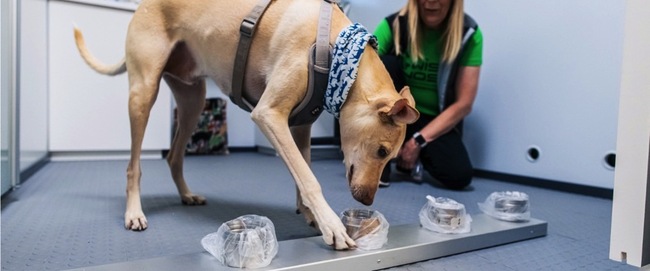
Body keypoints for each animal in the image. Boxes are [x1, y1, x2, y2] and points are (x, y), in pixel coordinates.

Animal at [73, 0, 418, 251]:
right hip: (143, 94)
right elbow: (309, 179)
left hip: (192, 101)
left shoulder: (300, 126)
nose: (367, 201)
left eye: (391, 156)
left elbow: (303, 170)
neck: (339, 54)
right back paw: (134, 213)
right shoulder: (269, 115)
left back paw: (187, 195)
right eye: (382, 150)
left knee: (173, 157)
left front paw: (311, 215)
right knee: (133, 166)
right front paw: (331, 224)